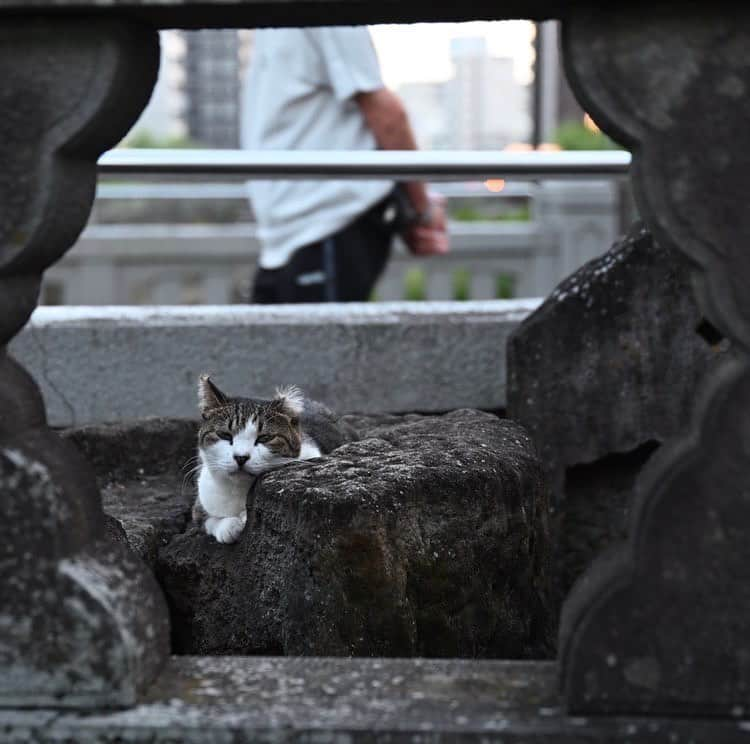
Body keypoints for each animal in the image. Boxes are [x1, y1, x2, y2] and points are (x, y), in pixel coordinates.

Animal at [194, 374, 358, 544]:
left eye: (265, 438)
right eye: (225, 435)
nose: (241, 457)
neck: (241, 491)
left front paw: (245, 516)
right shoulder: (203, 496)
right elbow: (207, 520)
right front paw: (230, 526)